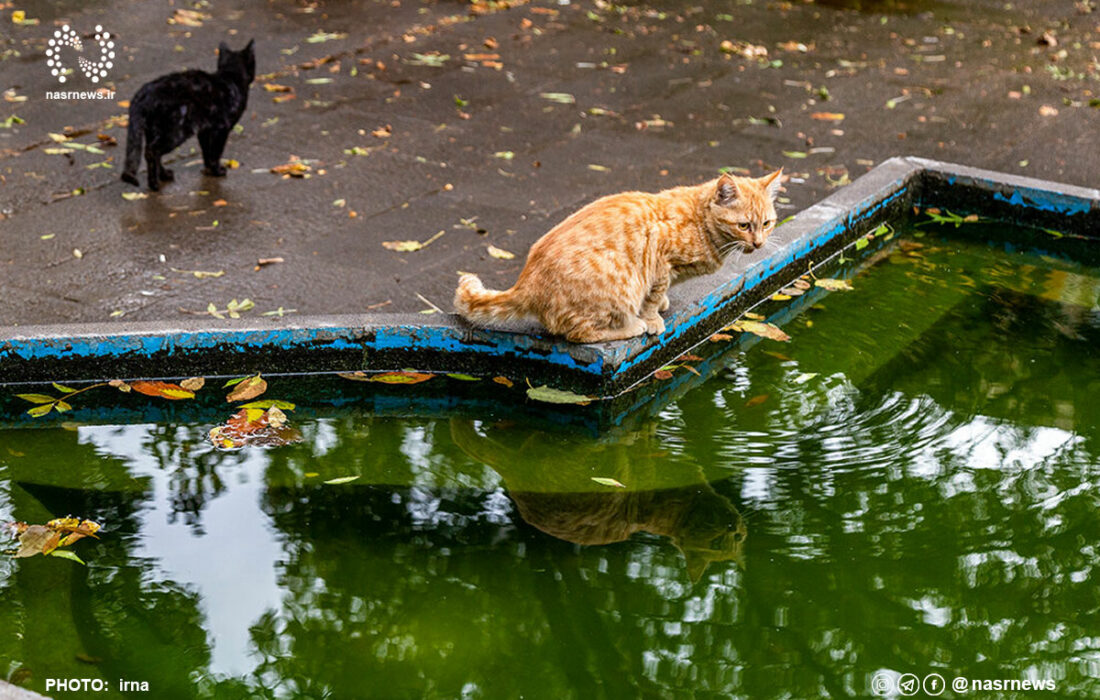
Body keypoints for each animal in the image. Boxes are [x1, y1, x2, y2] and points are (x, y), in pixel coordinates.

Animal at [119, 42, 255, 190]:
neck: (230, 77)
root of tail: (143, 92)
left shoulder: (204, 130)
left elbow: (206, 151)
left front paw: (208, 170)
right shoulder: (221, 129)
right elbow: (216, 152)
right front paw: (217, 171)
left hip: (153, 130)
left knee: (154, 152)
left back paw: (164, 175)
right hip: (176, 132)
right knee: (152, 151)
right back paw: (154, 184)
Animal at [453, 170, 783, 345]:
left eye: (767, 223)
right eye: (744, 225)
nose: (759, 243)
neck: (699, 221)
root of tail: (525, 284)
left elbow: (661, 295)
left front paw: (663, 305)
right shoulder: (659, 260)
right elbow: (653, 295)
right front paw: (652, 318)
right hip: (617, 288)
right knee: (578, 333)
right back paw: (630, 327)